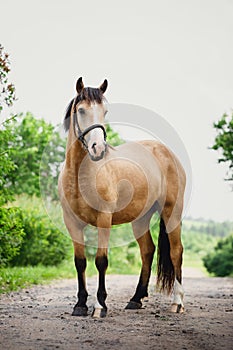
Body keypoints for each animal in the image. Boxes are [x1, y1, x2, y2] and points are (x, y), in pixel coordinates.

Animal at [57, 78, 186, 318]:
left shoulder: (104, 218)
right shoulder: (71, 222)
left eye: (105, 111)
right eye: (81, 110)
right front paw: (80, 304)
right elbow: (80, 262)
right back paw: (136, 299)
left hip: (172, 212)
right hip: (141, 220)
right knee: (147, 251)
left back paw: (177, 302)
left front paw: (100, 306)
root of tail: (166, 152)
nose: (98, 148)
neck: (81, 174)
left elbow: (101, 260)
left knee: (176, 252)